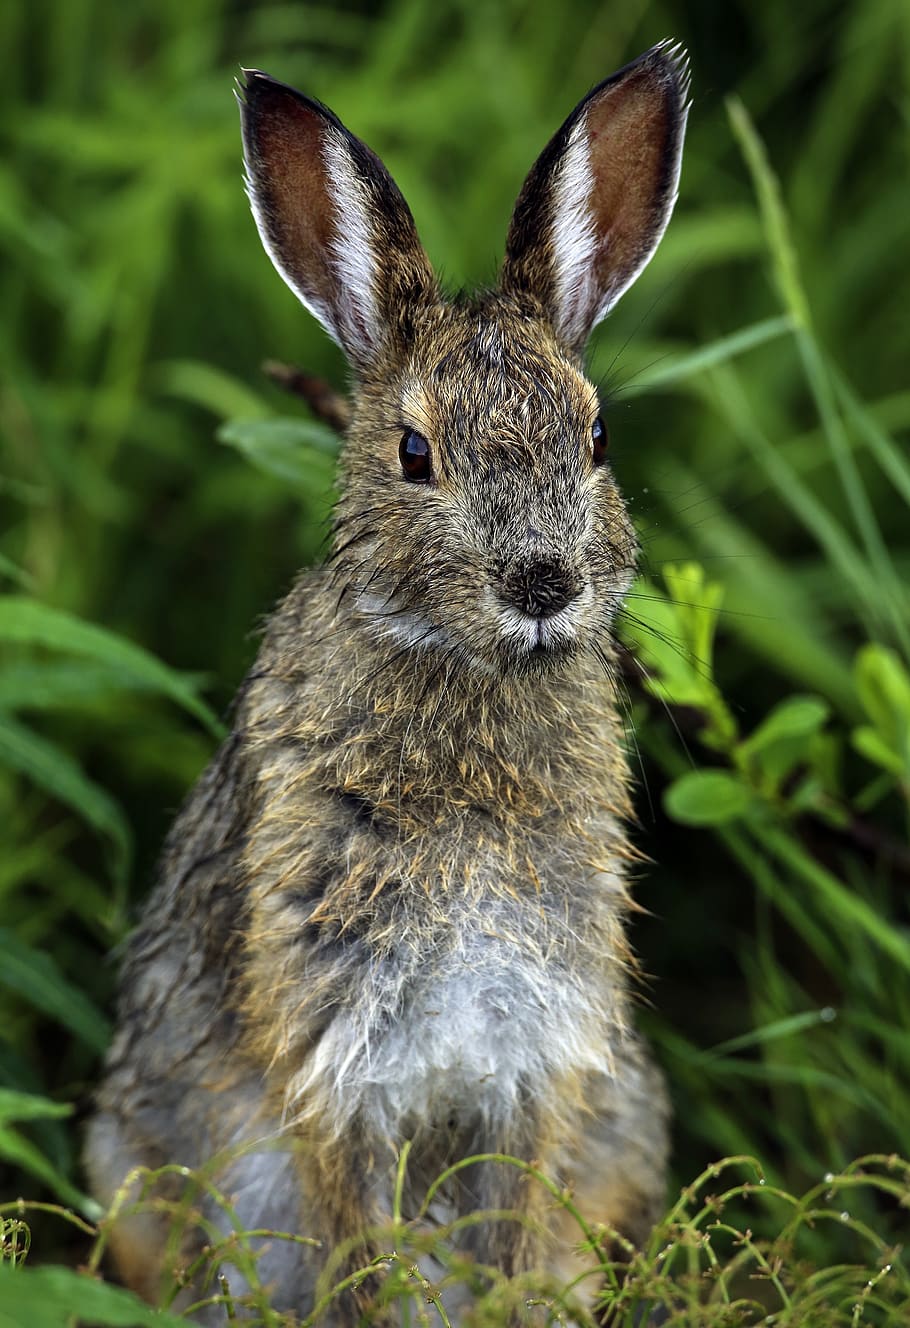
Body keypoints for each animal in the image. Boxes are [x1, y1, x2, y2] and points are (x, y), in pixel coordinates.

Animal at [85, 40, 689, 1324]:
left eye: (596, 436)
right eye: (415, 454)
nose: (542, 581)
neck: (463, 669)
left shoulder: (535, 1055)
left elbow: (506, 1230)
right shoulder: (335, 1049)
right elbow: (363, 1242)